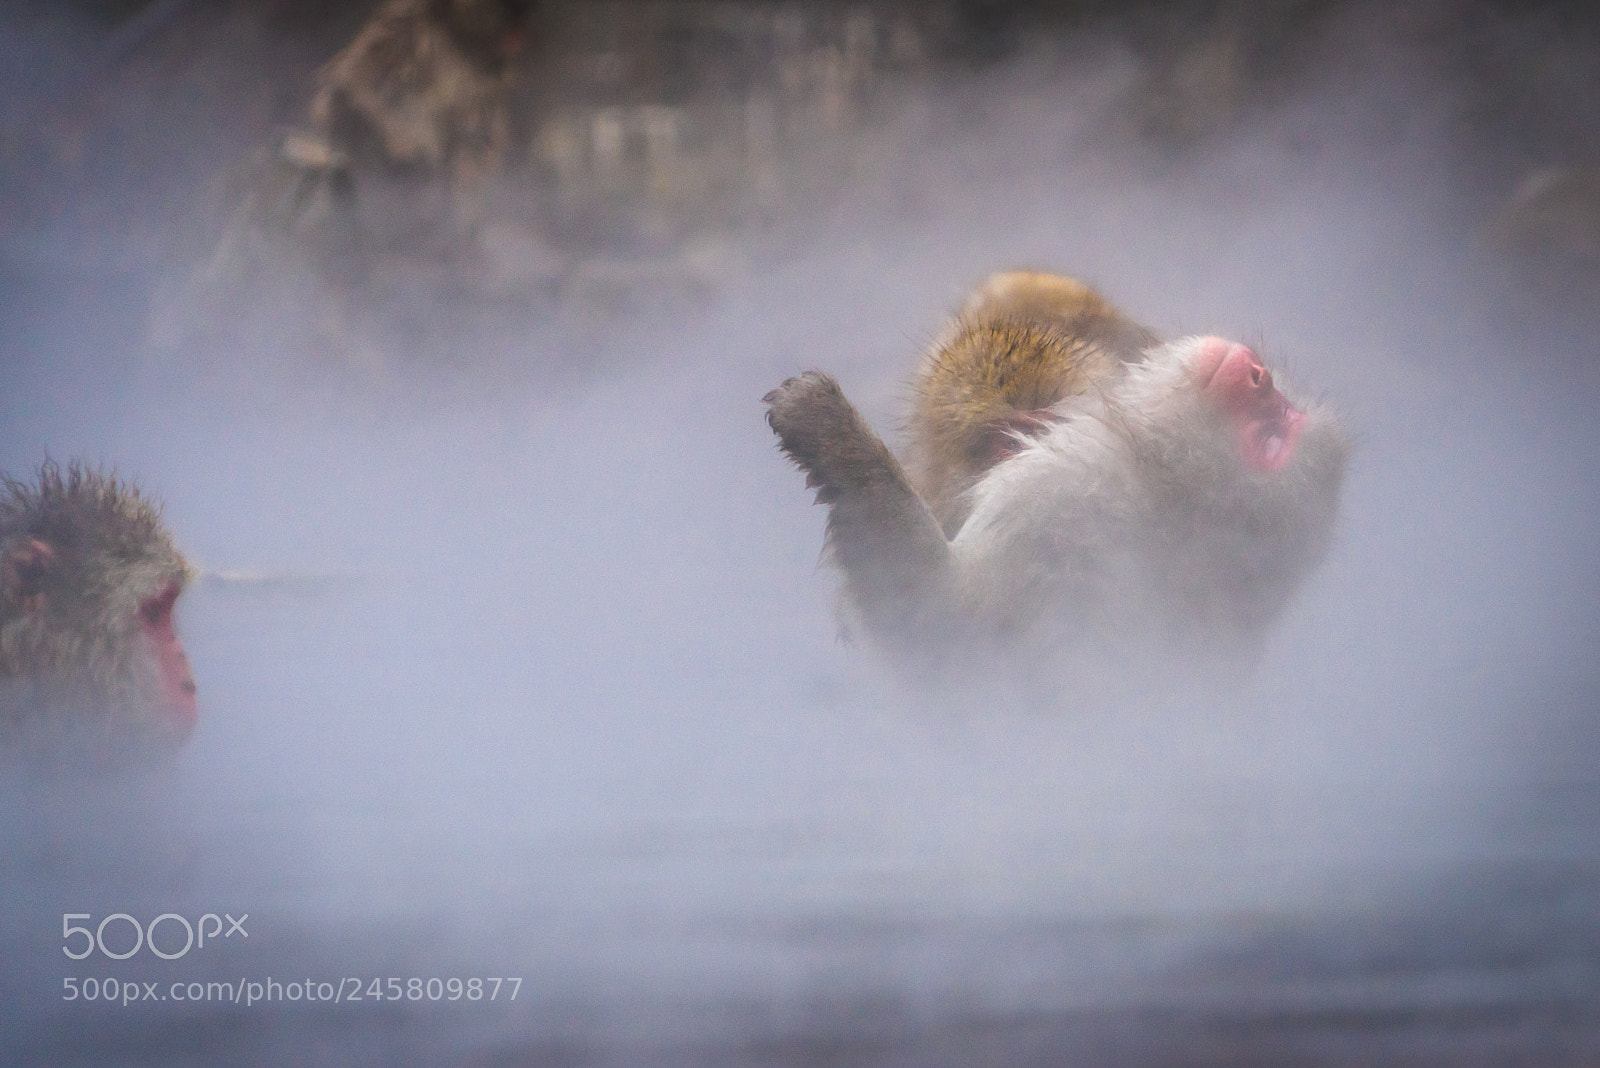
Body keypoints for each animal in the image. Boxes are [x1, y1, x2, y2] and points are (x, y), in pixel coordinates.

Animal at [764, 272, 1349, 679]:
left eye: (1268, 439)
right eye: (1281, 418)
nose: (1257, 375)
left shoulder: (1060, 497)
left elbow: (943, 624)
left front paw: (833, 433)